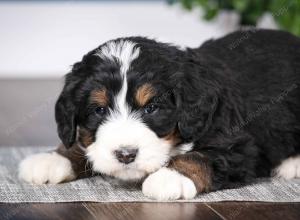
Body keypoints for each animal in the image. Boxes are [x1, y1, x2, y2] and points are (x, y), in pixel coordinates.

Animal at [18, 28, 300, 199]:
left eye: (151, 108)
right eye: (99, 109)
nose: (126, 155)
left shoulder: (239, 146)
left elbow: (200, 157)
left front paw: (169, 177)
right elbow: (81, 145)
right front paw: (51, 159)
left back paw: (292, 164)